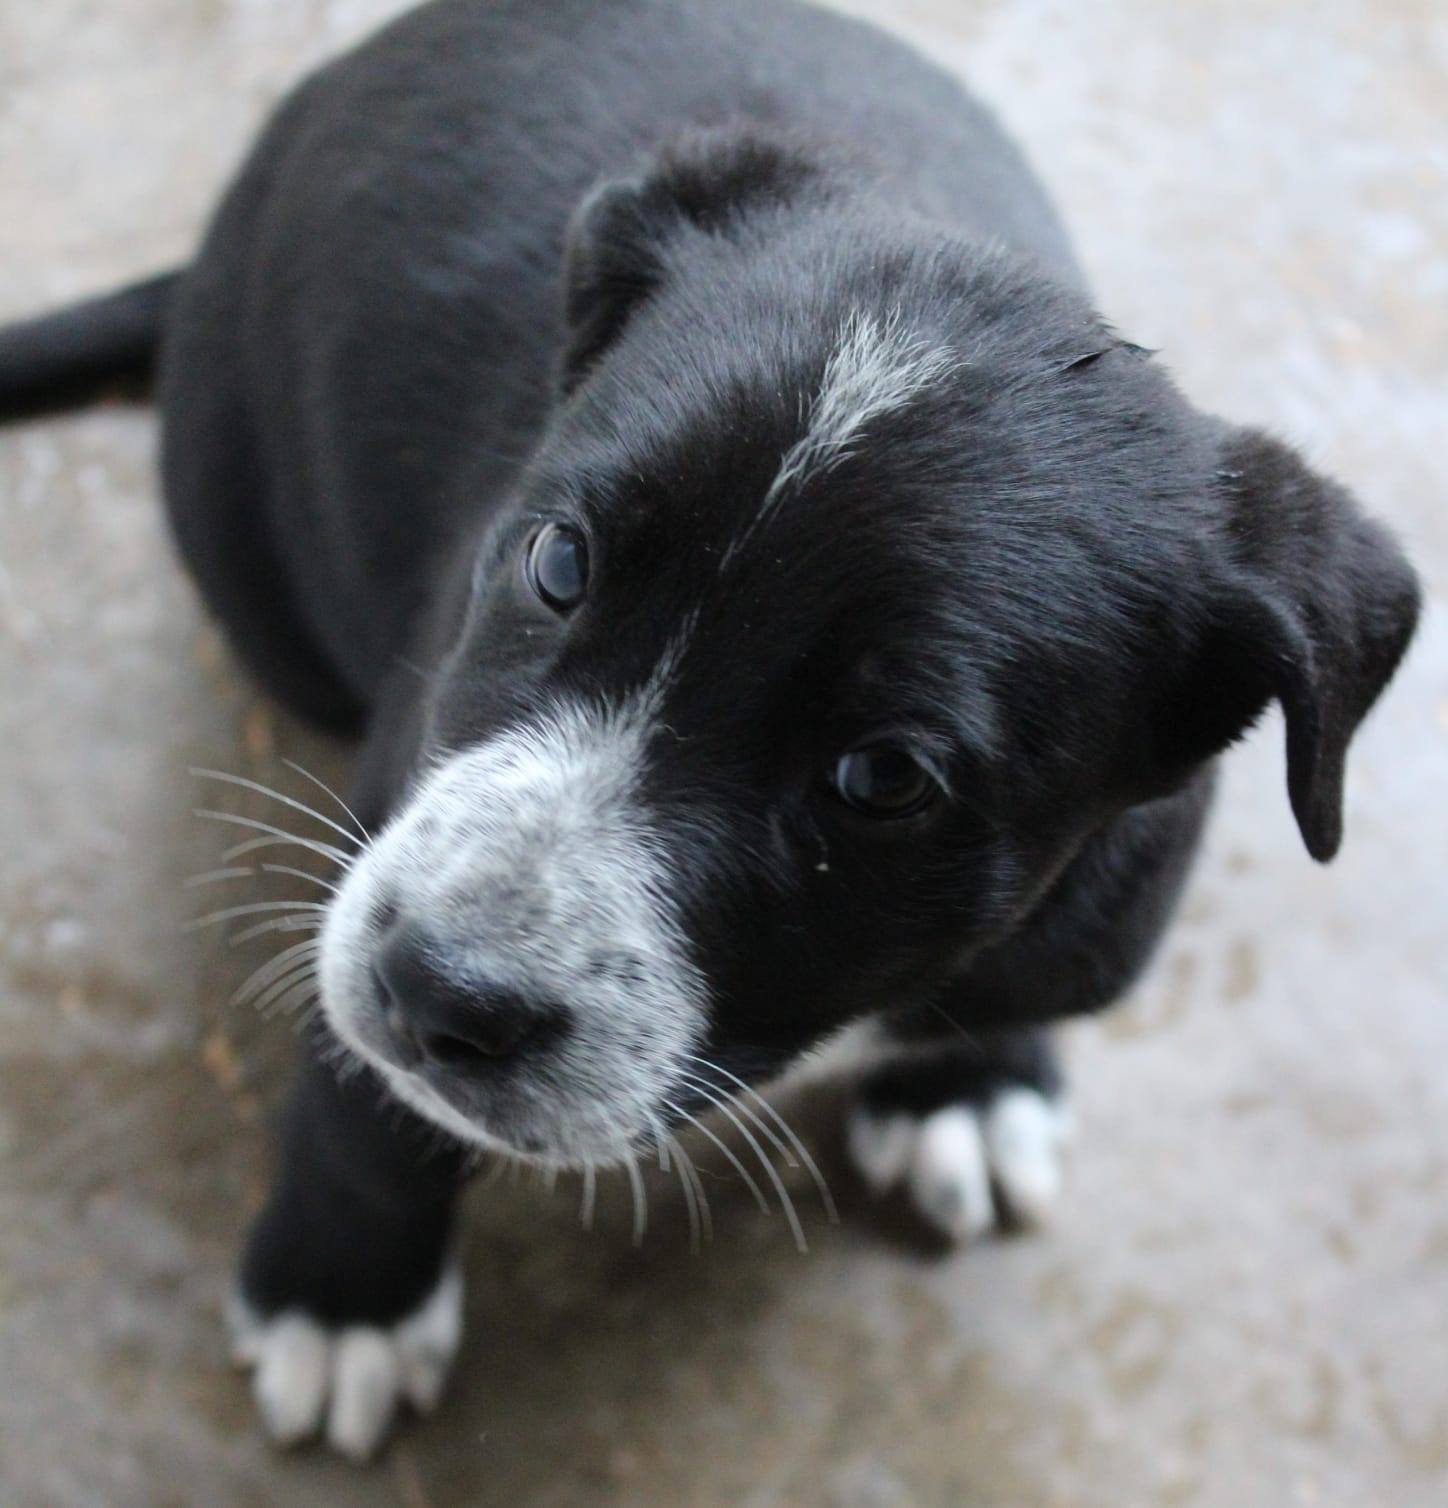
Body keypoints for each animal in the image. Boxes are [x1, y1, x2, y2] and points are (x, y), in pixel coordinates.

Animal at [0, 0, 1419, 1462]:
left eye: (883, 777)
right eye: (557, 562)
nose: (436, 987)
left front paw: (968, 1083)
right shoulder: (396, 784)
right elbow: (362, 1088)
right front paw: (342, 1294)